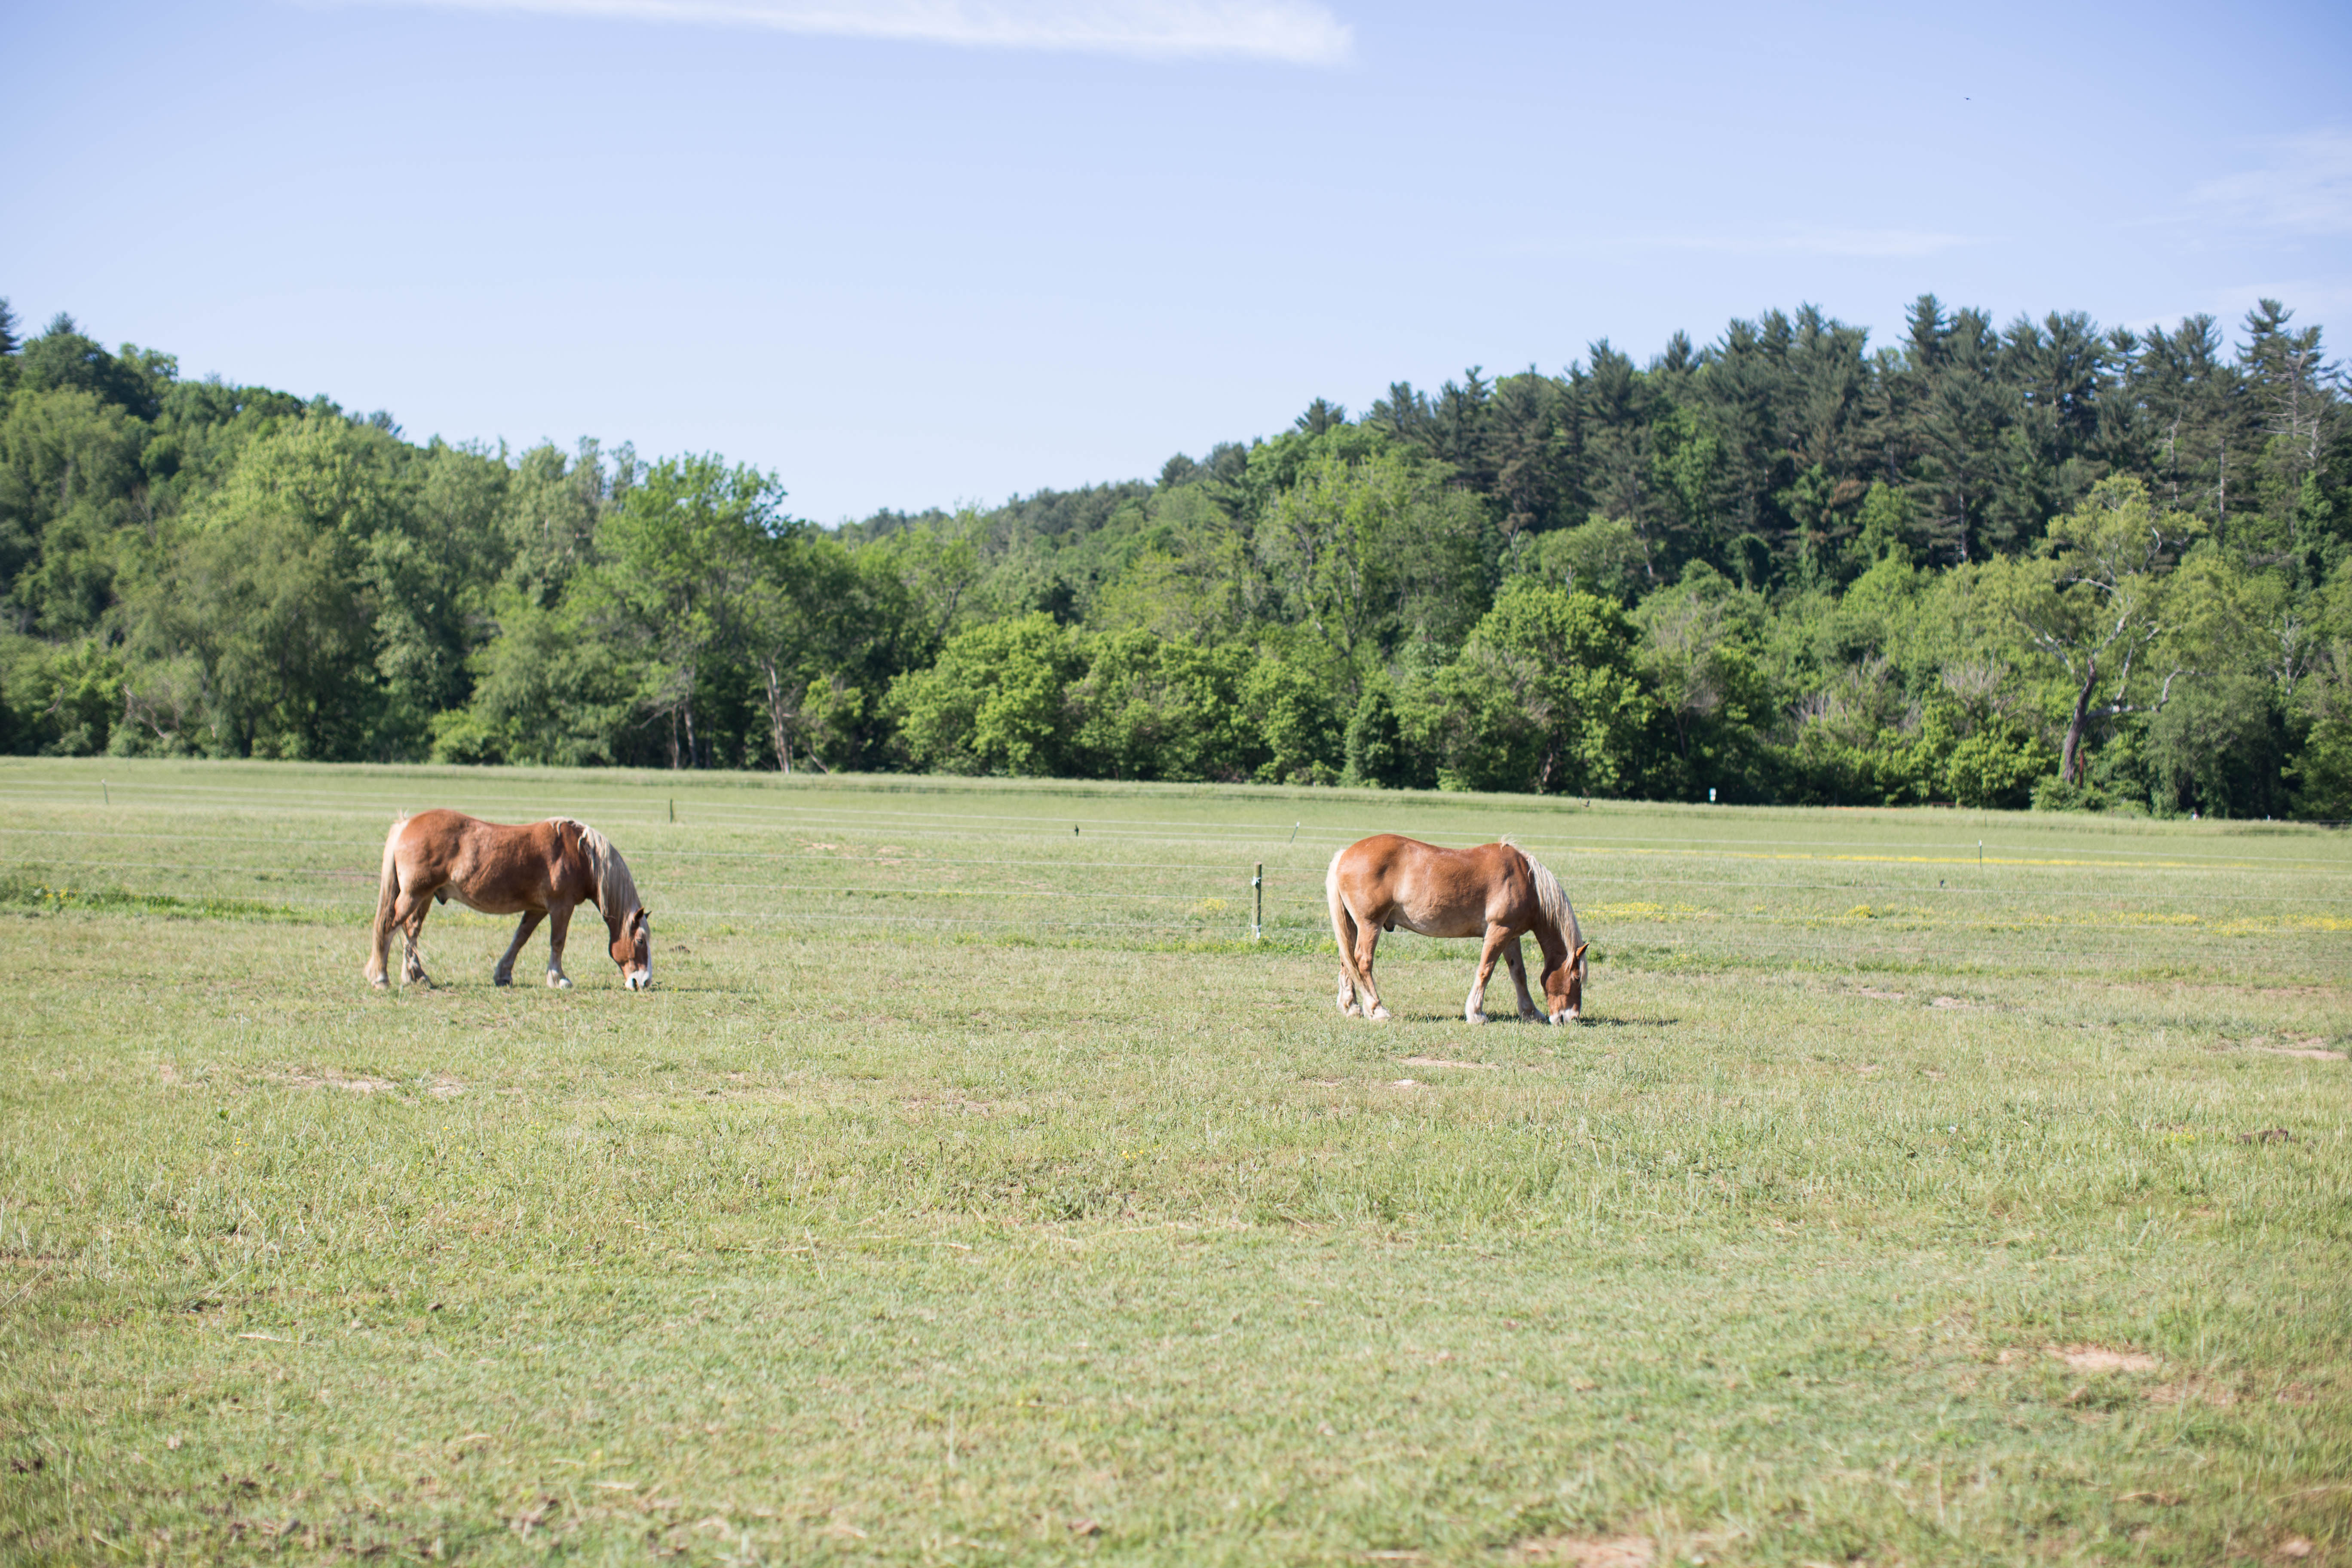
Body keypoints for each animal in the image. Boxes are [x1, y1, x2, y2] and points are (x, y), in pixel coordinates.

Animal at [364, 808, 654, 992]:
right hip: (413, 895)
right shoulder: (561, 906)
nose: (644, 981)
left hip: (423, 897)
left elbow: (520, 938)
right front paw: (558, 979)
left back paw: (416, 976)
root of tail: (405, 825)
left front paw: (503, 974)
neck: (582, 854)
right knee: (388, 927)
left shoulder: (537, 909)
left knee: (410, 933)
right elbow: (558, 942)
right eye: (640, 941)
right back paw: (381, 978)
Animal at [1336, 832, 1590, 1029]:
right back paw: (1377, 1009)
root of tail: (1345, 854)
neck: (1528, 881)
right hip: (1371, 925)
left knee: (1347, 960)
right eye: (1576, 978)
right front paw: (1476, 1014)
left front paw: (1531, 1013)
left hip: (1355, 926)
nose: (1571, 1018)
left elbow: (1519, 974)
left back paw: (1352, 1008)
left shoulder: (1511, 936)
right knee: (1363, 961)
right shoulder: (1499, 931)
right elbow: (1485, 971)